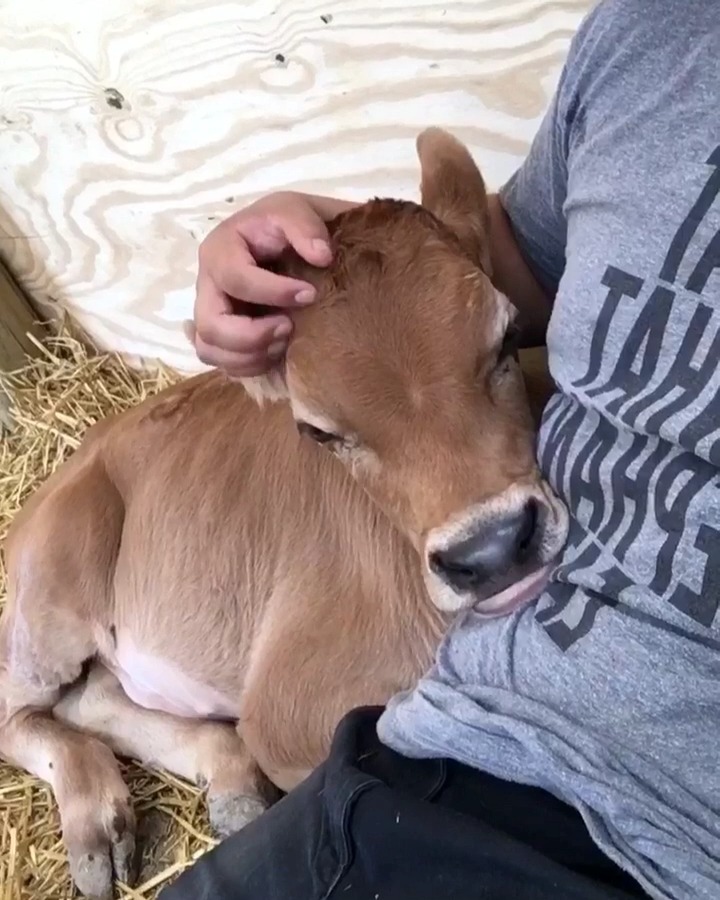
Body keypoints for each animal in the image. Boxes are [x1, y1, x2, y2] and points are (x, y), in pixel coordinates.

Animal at [0, 128, 568, 899]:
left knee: (96, 697)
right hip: (52, 600)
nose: (492, 549)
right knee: (21, 707)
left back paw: (228, 783)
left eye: (509, 336)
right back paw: (97, 823)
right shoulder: (287, 710)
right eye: (319, 432)